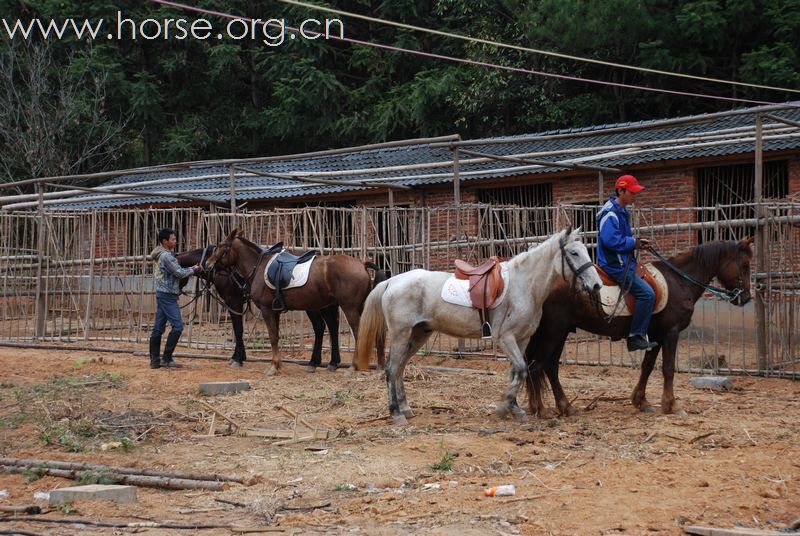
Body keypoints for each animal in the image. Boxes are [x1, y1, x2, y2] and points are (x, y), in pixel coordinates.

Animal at [177, 246, 340, 368]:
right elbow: (237, 329)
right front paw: (238, 356)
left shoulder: (233, 301)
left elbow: (238, 329)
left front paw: (238, 358)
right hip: (325, 305)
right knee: (332, 327)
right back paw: (333, 362)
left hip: (313, 306)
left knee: (320, 327)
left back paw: (314, 362)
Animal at [206, 228, 388, 374]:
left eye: (221, 246)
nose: (208, 264)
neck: (259, 265)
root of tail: (362, 264)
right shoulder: (275, 311)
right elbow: (276, 336)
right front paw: (278, 364)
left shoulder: (266, 309)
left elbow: (272, 336)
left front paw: (273, 366)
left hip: (349, 308)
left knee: (358, 332)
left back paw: (352, 367)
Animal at [354, 228, 600, 426]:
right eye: (574, 253)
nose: (597, 285)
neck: (523, 286)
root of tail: (391, 282)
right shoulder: (505, 338)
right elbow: (521, 369)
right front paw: (503, 407)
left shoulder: (522, 339)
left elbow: (516, 372)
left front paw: (514, 408)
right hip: (400, 334)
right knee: (390, 369)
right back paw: (396, 413)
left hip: (419, 334)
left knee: (399, 368)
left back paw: (405, 408)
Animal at [520, 239, 752, 418]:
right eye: (745, 264)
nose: (746, 298)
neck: (679, 281)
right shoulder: (671, 332)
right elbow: (668, 368)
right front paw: (672, 405)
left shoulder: (656, 335)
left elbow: (647, 366)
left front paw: (641, 401)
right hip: (553, 332)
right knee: (539, 366)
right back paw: (541, 409)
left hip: (558, 333)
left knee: (549, 367)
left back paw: (564, 407)